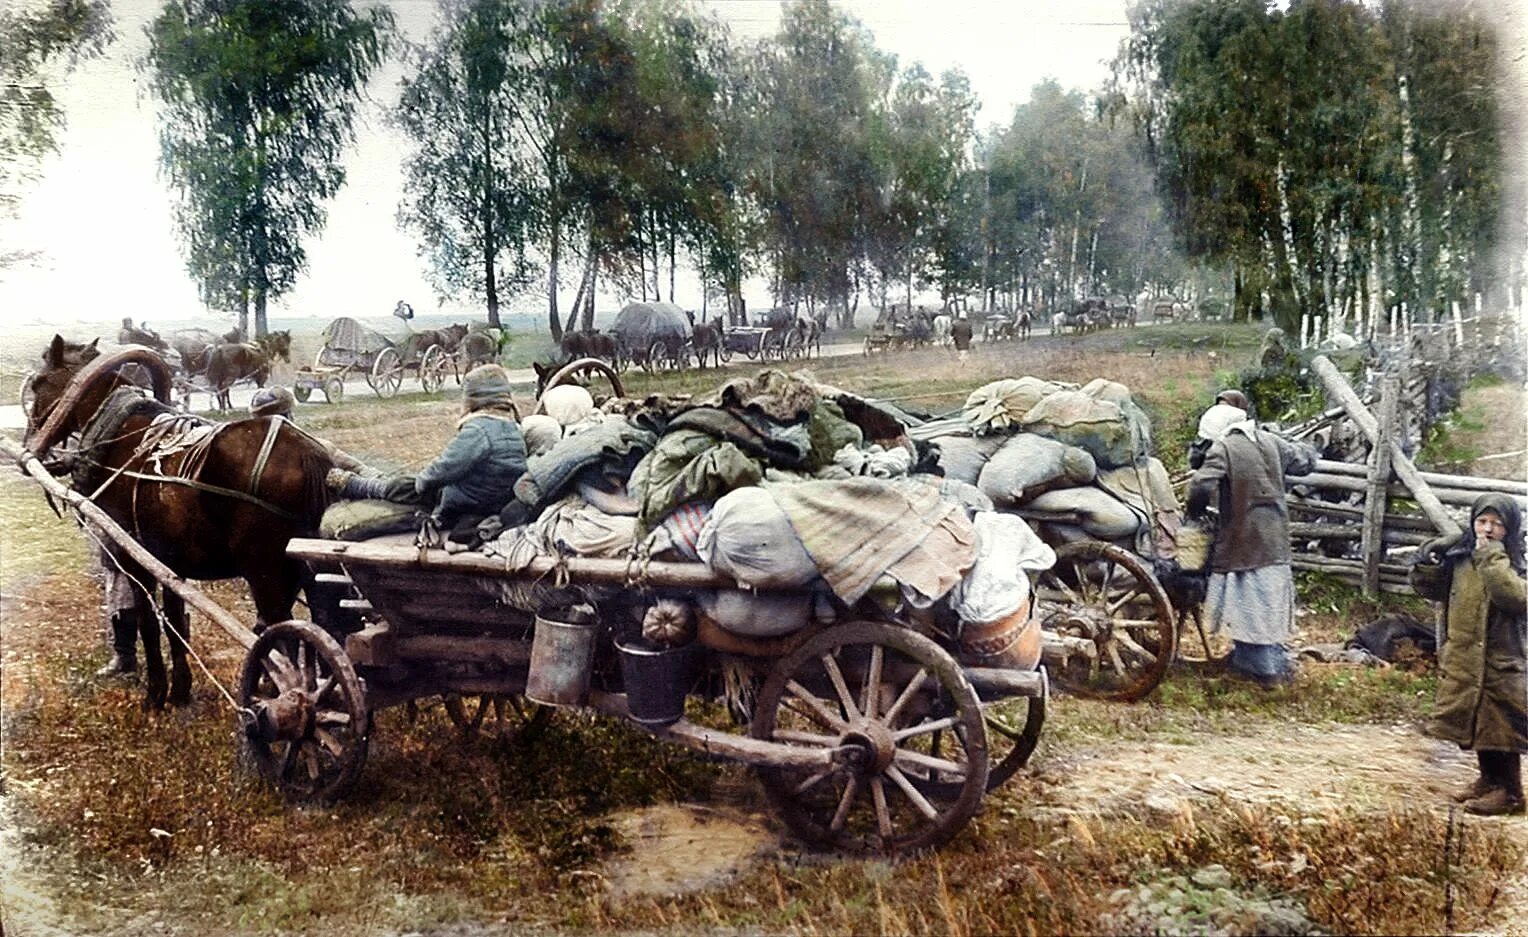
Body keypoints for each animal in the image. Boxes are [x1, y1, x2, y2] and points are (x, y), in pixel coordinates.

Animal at [23, 339, 336, 706]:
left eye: (39, 382)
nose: (32, 442)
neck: (120, 437)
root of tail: (306, 452)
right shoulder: (171, 566)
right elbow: (174, 623)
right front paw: (181, 688)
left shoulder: (136, 561)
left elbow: (148, 623)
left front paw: (156, 693)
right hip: (305, 572)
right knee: (320, 623)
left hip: (264, 572)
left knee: (282, 633)